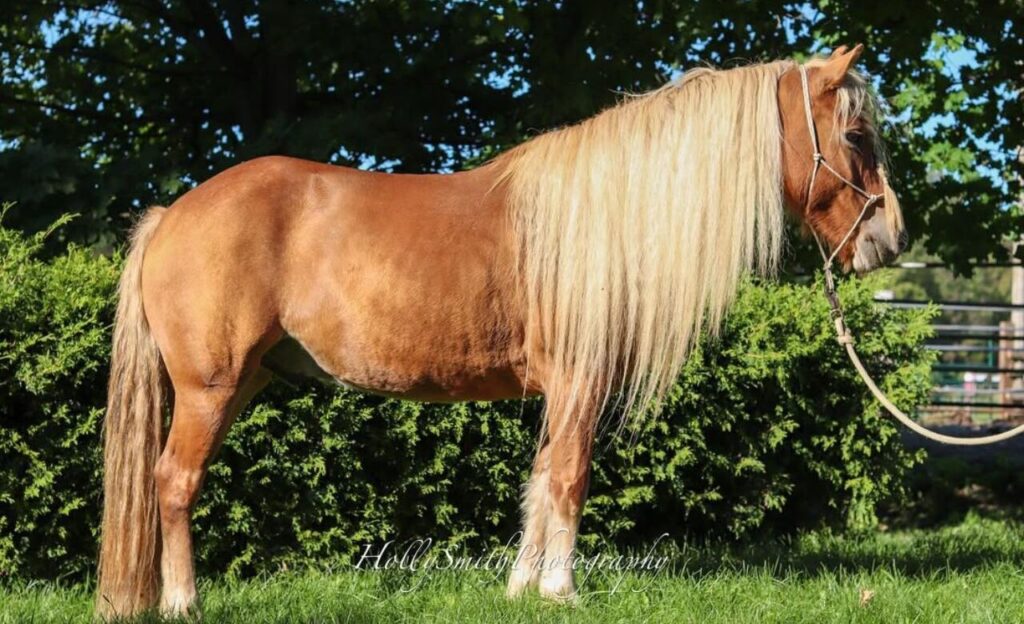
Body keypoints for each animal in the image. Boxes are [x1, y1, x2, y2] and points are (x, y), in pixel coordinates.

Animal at [96, 44, 907, 618]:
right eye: (855, 134)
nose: (890, 240)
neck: (602, 218)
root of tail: (173, 213)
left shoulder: (564, 389)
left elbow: (542, 480)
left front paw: (521, 588)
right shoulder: (579, 381)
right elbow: (570, 479)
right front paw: (561, 591)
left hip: (240, 383)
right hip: (209, 387)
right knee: (174, 482)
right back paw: (183, 603)